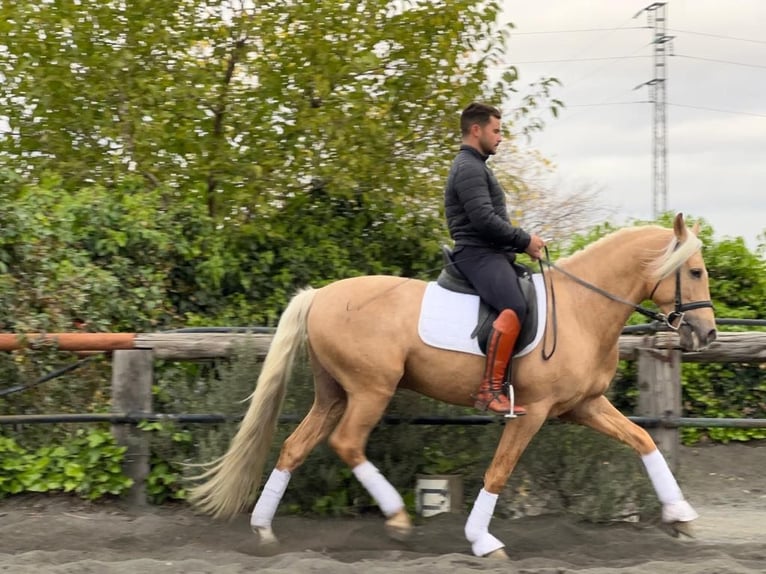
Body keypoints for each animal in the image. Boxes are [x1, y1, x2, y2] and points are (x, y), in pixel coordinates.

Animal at [189, 214, 716, 560]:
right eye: (694, 271)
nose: (707, 335)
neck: (582, 308)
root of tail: (320, 295)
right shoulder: (534, 411)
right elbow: (499, 472)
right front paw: (483, 541)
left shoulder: (584, 405)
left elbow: (643, 439)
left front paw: (681, 516)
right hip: (370, 390)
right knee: (347, 444)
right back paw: (398, 518)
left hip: (334, 394)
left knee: (294, 448)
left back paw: (263, 530)